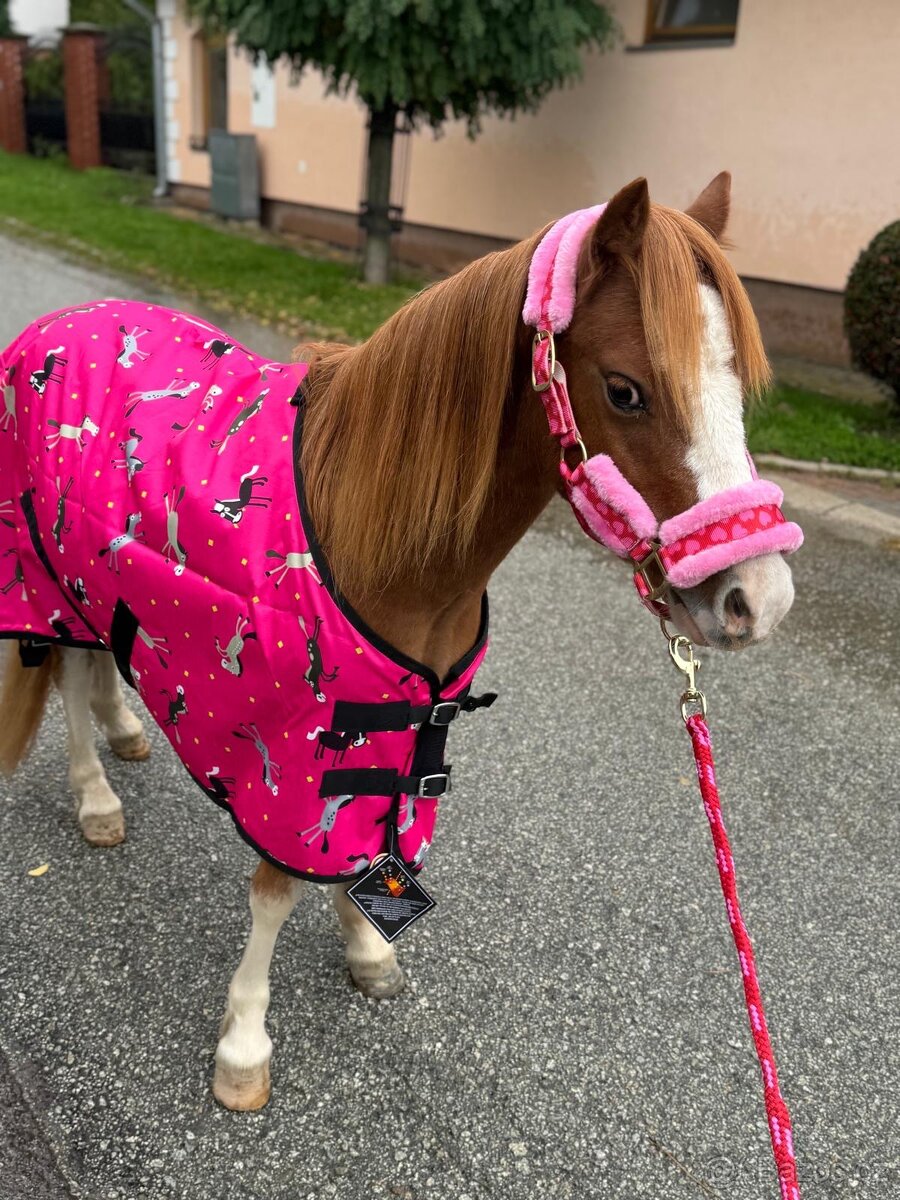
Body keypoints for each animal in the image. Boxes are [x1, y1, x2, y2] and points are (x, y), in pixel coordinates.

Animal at [0, 173, 797, 1113]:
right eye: (626, 389)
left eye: (738, 388)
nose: (759, 600)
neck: (374, 534)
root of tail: (56, 326)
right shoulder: (294, 753)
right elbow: (277, 887)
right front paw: (244, 1044)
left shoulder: (401, 724)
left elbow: (371, 844)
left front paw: (367, 947)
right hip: (46, 578)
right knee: (65, 680)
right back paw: (95, 798)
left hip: (101, 582)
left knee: (97, 665)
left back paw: (125, 732)